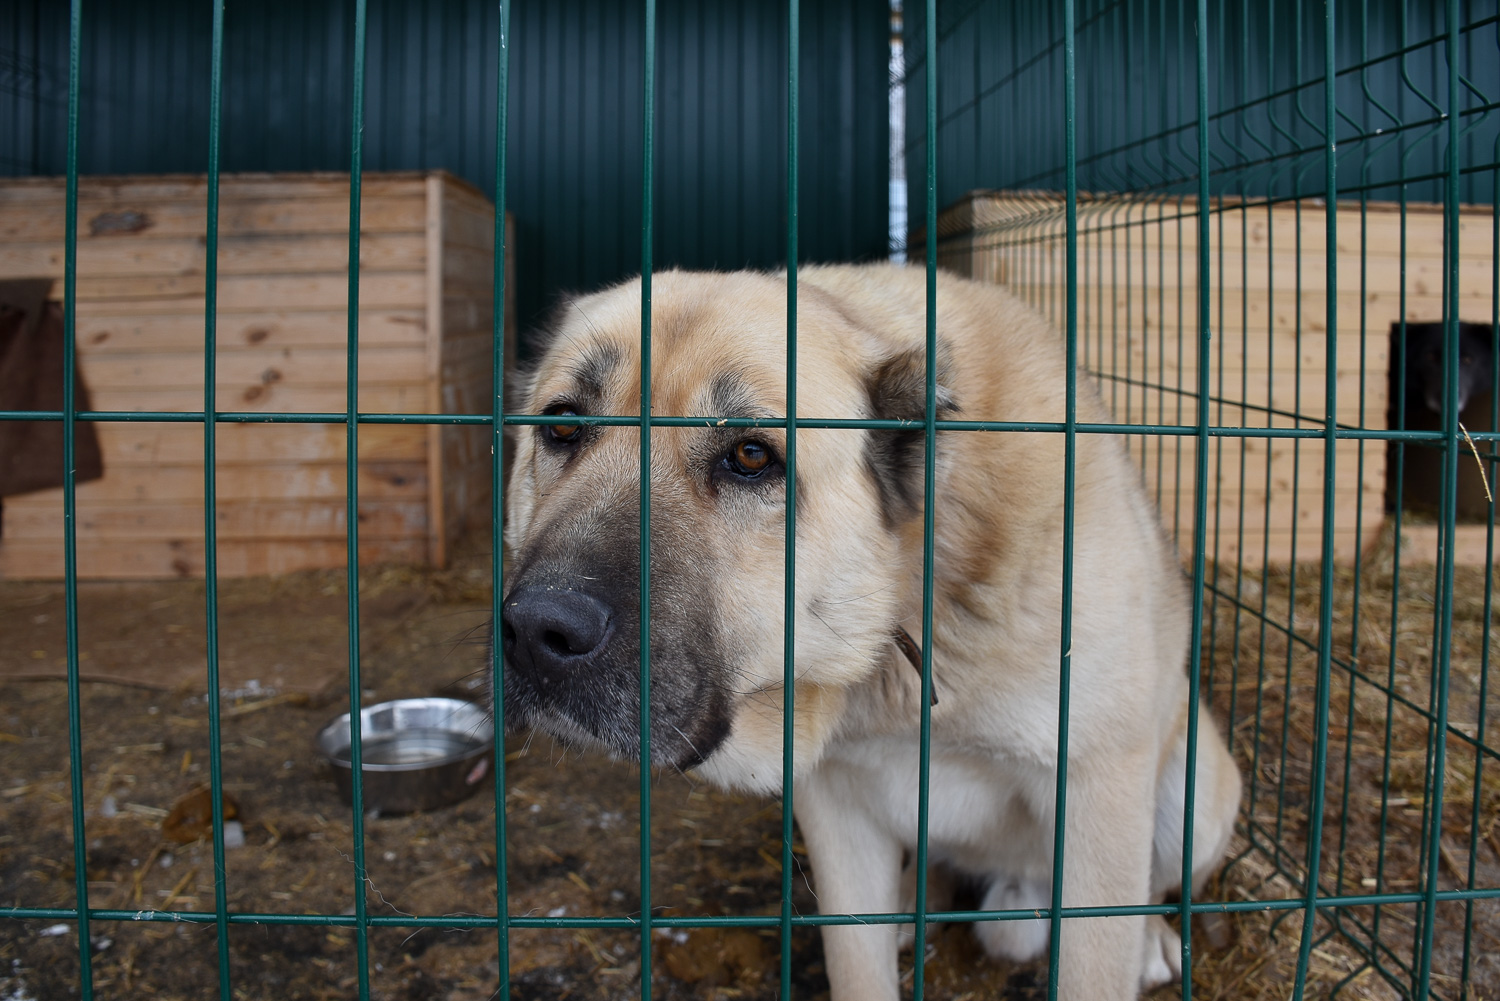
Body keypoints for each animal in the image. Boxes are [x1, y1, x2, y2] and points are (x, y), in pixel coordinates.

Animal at [501, 262, 1242, 996]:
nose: (536, 630)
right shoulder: (837, 812)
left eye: (750, 455)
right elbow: (859, 963)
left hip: (1194, 792)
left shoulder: (1098, 794)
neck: (909, 610)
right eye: (561, 427)